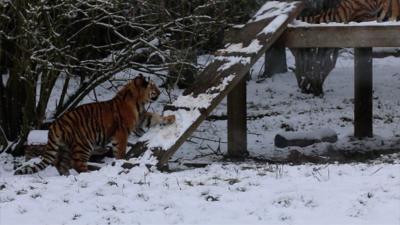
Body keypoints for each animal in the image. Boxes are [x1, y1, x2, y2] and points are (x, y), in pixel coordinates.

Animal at [14, 74, 174, 175]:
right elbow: (121, 150)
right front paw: (121, 161)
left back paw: (67, 175)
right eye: (153, 87)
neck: (138, 102)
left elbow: (155, 117)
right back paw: (87, 173)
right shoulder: (122, 132)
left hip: (66, 147)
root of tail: (56, 123)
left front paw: (171, 118)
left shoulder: (141, 118)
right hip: (84, 143)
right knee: (77, 164)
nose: (160, 92)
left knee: (62, 164)